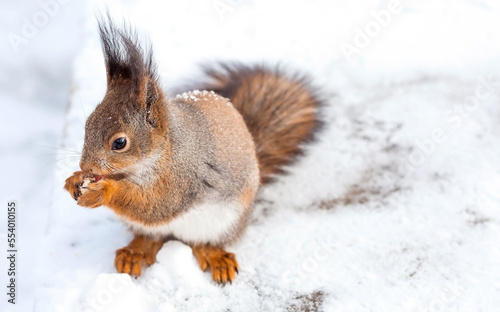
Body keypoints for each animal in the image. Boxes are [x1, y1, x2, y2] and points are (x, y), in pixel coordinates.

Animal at [64, 17, 322, 286]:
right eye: (88, 124)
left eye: (119, 143)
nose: (86, 166)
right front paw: (74, 180)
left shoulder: (184, 176)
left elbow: (156, 204)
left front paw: (103, 191)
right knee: (150, 237)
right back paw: (135, 252)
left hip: (224, 223)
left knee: (203, 243)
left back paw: (214, 256)